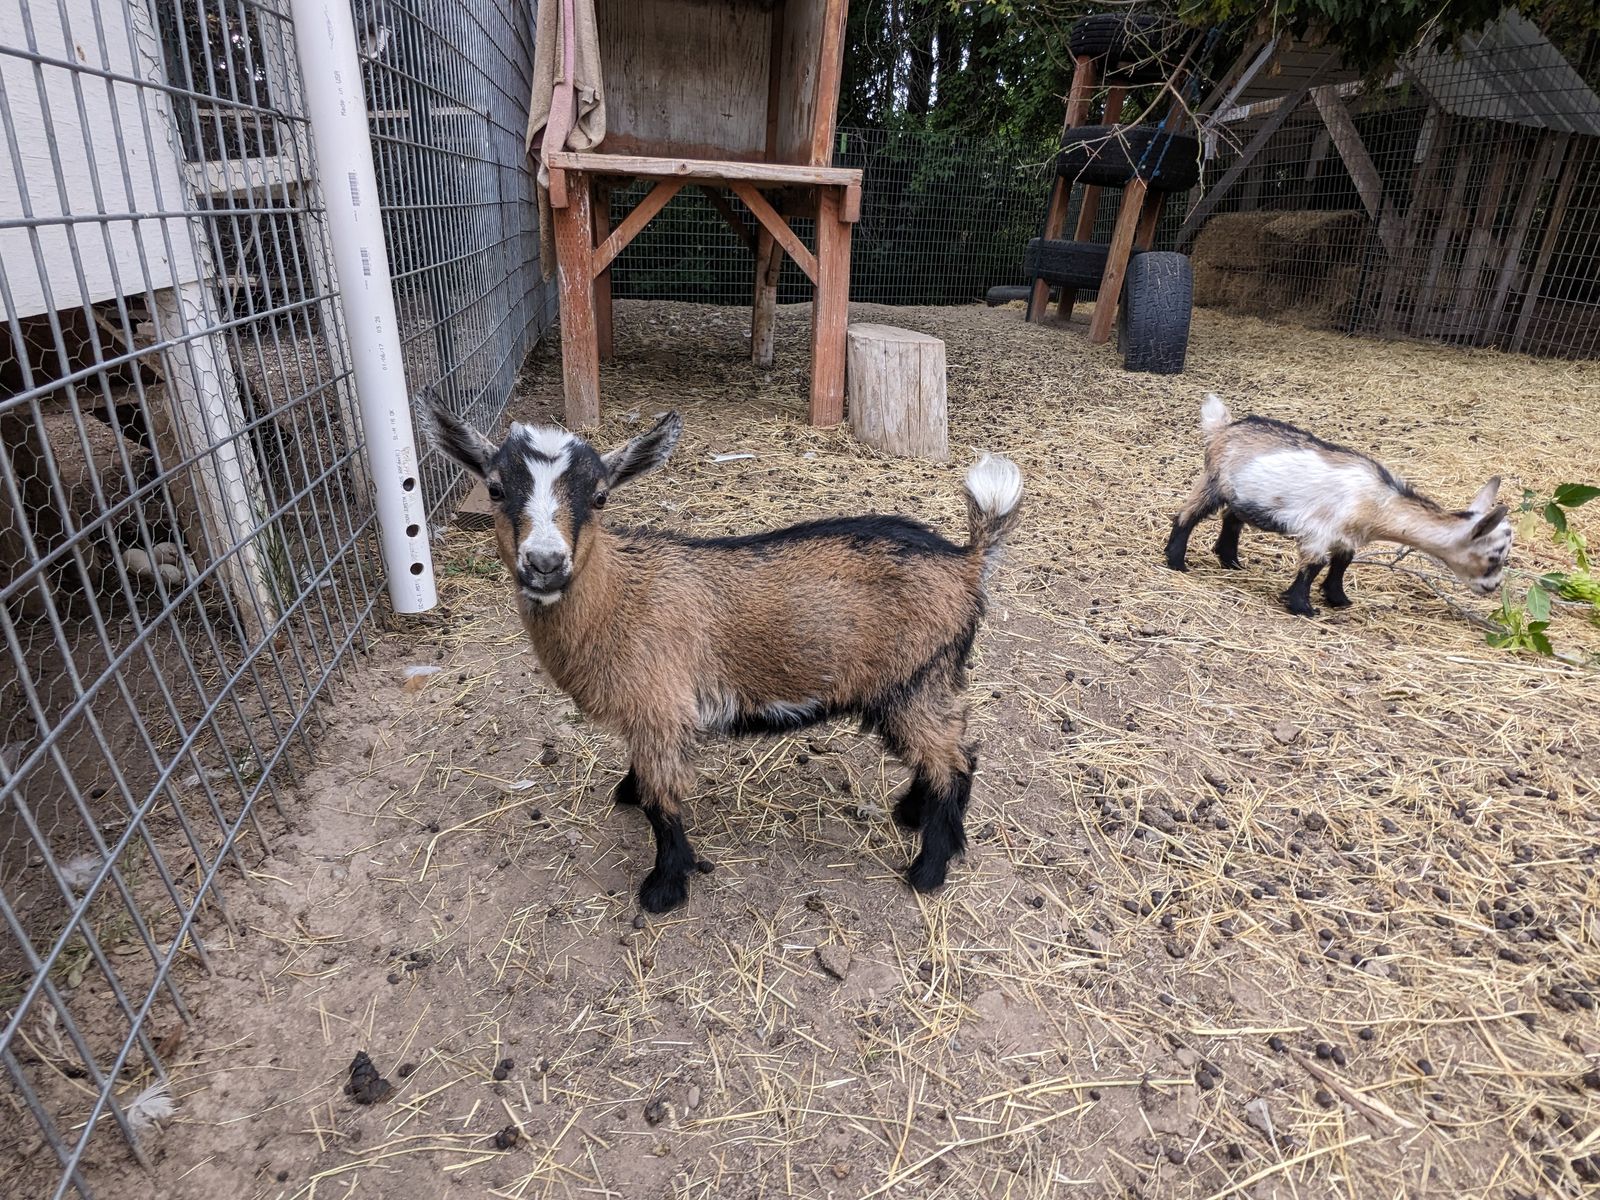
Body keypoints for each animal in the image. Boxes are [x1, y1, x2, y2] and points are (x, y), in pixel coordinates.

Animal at [423, 397, 1023, 913]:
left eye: (599, 496)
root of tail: (967, 560)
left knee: (953, 762)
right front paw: (627, 791)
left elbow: (663, 805)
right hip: (919, 683)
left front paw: (664, 889)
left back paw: (928, 869)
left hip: (917, 678)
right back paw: (910, 814)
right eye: (494, 488)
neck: (619, 598)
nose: (545, 563)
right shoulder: (650, 714)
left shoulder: (662, 710)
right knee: (951, 752)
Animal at [1165, 394, 1512, 616]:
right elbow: (1314, 565)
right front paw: (1303, 608)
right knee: (1187, 515)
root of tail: (1223, 428)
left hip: (1245, 494)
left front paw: (1339, 599)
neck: (1378, 503)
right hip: (1214, 480)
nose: (1493, 587)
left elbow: (1342, 563)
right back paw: (1177, 562)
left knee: (1232, 518)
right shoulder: (1320, 530)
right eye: (1494, 557)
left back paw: (1231, 560)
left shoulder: (1347, 536)